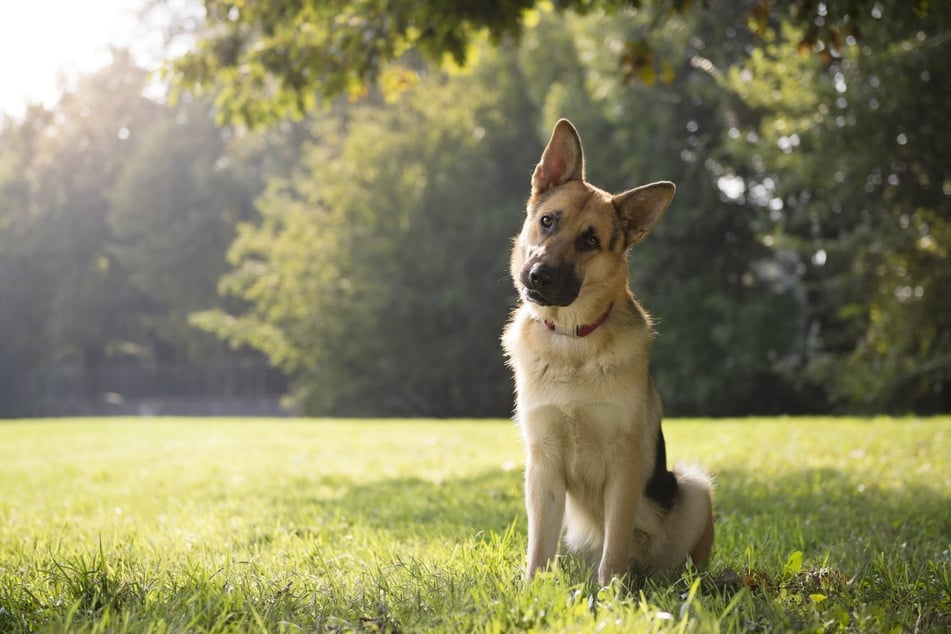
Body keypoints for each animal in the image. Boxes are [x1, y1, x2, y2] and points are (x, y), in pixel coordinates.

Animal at [498, 117, 712, 584]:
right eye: (547, 221)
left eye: (590, 241)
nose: (538, 277)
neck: (572, 340)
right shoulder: (542, 466)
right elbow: (538, 546)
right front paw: (532, 589)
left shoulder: (625, 465)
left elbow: (615, 543)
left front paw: (612, 592)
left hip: (694, 487)